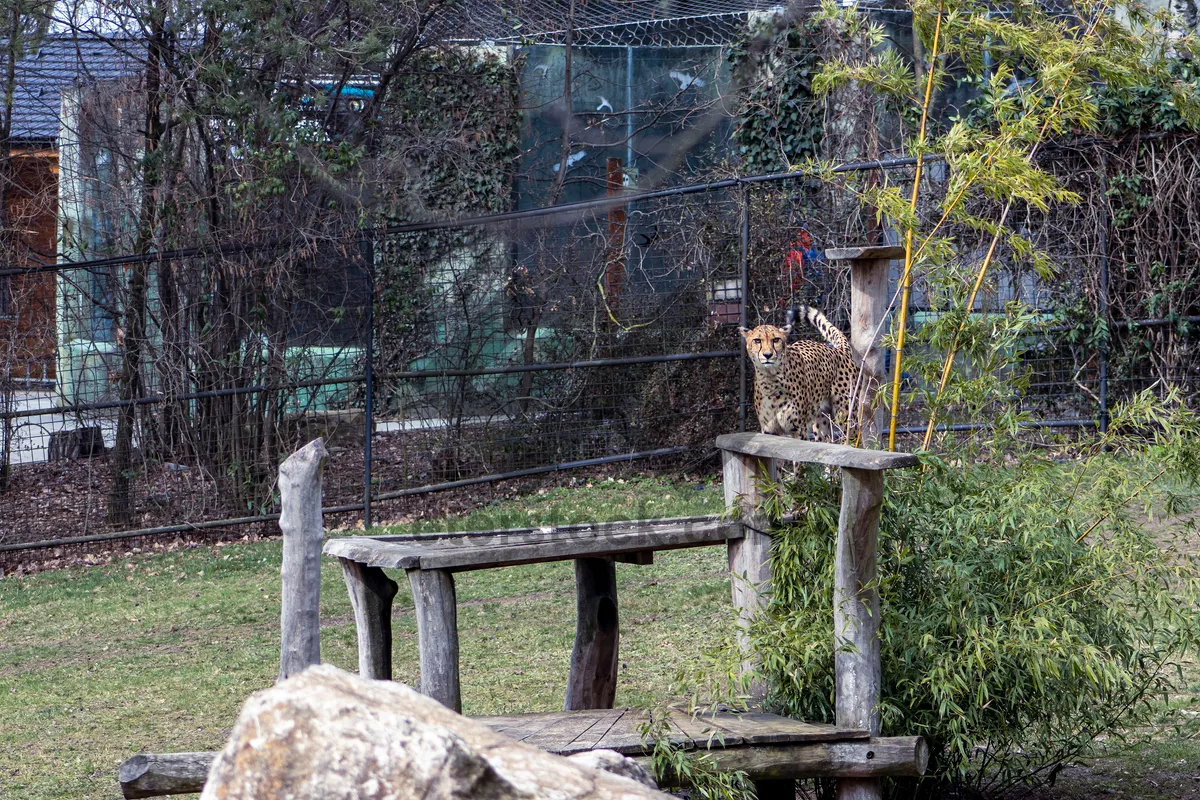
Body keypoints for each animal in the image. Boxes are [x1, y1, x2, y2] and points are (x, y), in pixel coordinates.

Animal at [734, 307, 859, 443]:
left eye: (776, 340)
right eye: (757, 340)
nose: (768, 355)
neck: (771, 379)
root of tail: (839, 350)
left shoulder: (798, 429)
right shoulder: (769, 430)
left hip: (846, 417)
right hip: (821, 421)